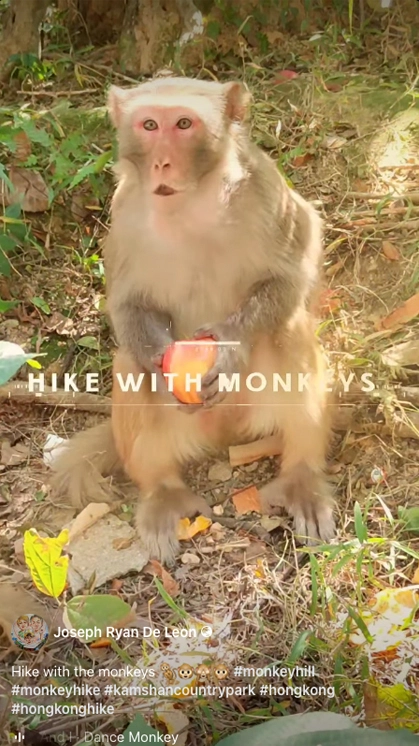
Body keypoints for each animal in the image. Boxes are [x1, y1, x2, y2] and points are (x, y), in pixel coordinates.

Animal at [50, 76, 336, 565]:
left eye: (184, 124)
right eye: (149, 125)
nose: (162, 162)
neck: (190, 205)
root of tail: (225, 434)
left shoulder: (265, 191)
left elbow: (293, 270)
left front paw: (230, 346)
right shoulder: (124, 213)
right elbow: (127, 305)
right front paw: (160, 364)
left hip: (259, 409)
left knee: (289, 330)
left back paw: (302, 476)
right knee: (127, 363)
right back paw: (162, 492)